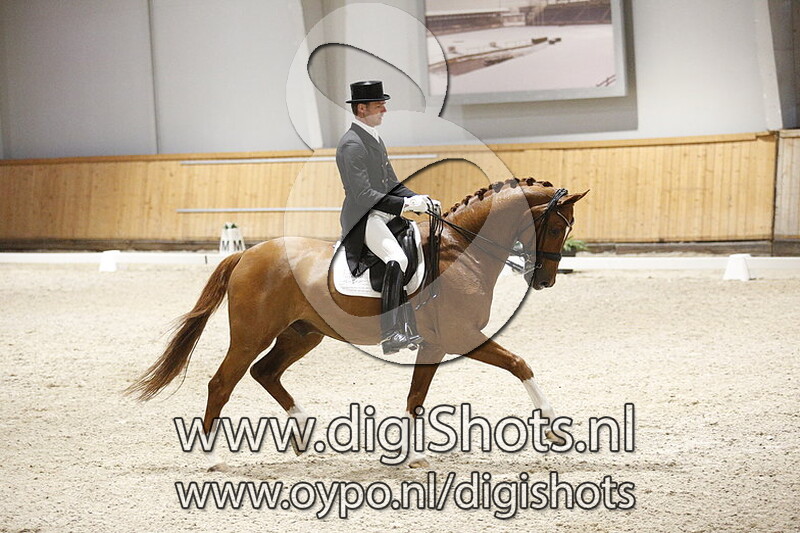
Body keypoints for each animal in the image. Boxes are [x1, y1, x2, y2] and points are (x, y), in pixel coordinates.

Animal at [127, 177, 588, 469]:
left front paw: (411, 454)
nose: (544, 280)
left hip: (302, 334)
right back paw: (213, 459)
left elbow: (416, 396)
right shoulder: (461, 336)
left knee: (266, 372)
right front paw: (554, 429)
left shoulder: (435, 343)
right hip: (250, 335)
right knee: (222, 384)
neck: (461, 250)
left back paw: (305, 436)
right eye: (556, 227)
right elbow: (519, 364)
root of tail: (247, 254)